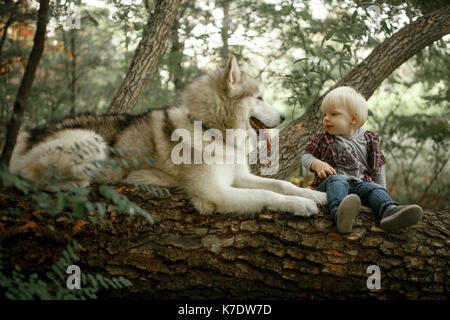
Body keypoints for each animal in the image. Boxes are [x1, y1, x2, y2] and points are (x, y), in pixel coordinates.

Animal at [8, 57, 326, 218]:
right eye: (259, 98)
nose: (283, 117)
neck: (210, 130)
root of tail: (30, 134)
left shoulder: (238, 178)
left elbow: (281, 184)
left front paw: (313, 194)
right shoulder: (216, 194)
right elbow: (267, 194)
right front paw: (300, 205)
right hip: (92, 142)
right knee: (30, 177)